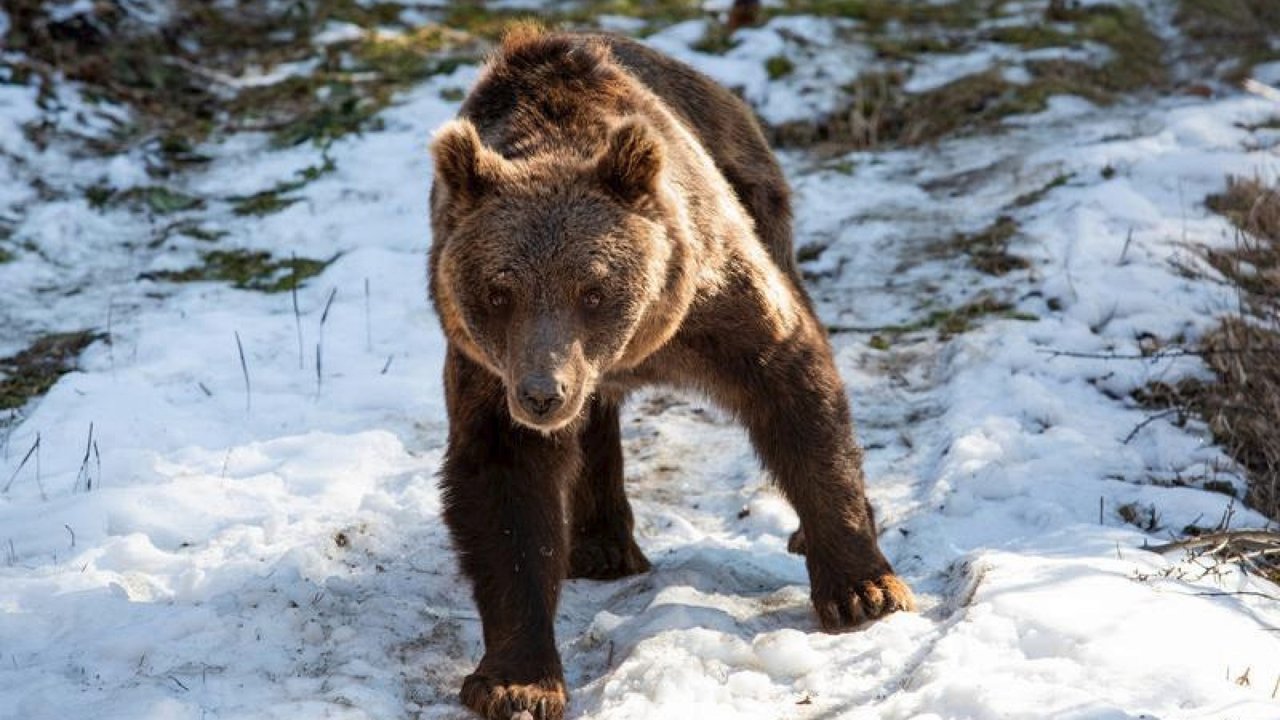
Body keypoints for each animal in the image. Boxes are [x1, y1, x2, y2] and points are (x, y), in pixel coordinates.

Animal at [428, 26, 915, 720]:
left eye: (593, 289)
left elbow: (795, 387)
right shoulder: (487, 366)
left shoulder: (715, 296)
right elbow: (506, 491)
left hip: (758, 200)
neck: (633, 348)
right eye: (499, 291)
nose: (544, 393)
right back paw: (601, 546)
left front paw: (863, 588)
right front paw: (516, 681)